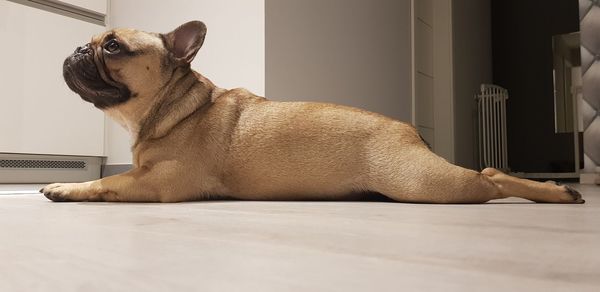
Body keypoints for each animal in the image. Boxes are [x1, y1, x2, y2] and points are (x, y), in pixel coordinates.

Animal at [39, 20, 584, 204]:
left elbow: (108, 182)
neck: (172, 105)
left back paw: (558, 192)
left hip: (424, 184)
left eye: (112, 46)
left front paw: (65, 186)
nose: (77, 49)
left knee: (490, 175)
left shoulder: (161, 181)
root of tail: (409, 131)